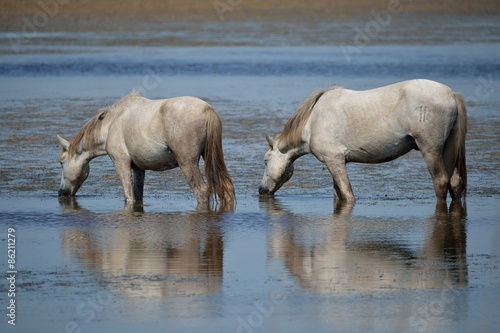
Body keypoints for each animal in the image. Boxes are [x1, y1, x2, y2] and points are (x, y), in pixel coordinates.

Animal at [55, 92, 235, 209]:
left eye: (61, 163)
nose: (61, 192)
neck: (109, 125)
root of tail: (207, 109)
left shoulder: (121, 162)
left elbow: (129, 197)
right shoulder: (139, 168)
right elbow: (138, 195)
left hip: (187, 163)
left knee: (202, 191)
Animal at [260, 79, 466, 201]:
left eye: (265, 161)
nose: (261, 190)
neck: (313, 122)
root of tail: (450, 94)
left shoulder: (334, 160)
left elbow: (347, 194)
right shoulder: (337, 162)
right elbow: (338, 194)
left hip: (430, 149)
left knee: (440, 182)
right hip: (447, 150)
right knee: (454, 183)